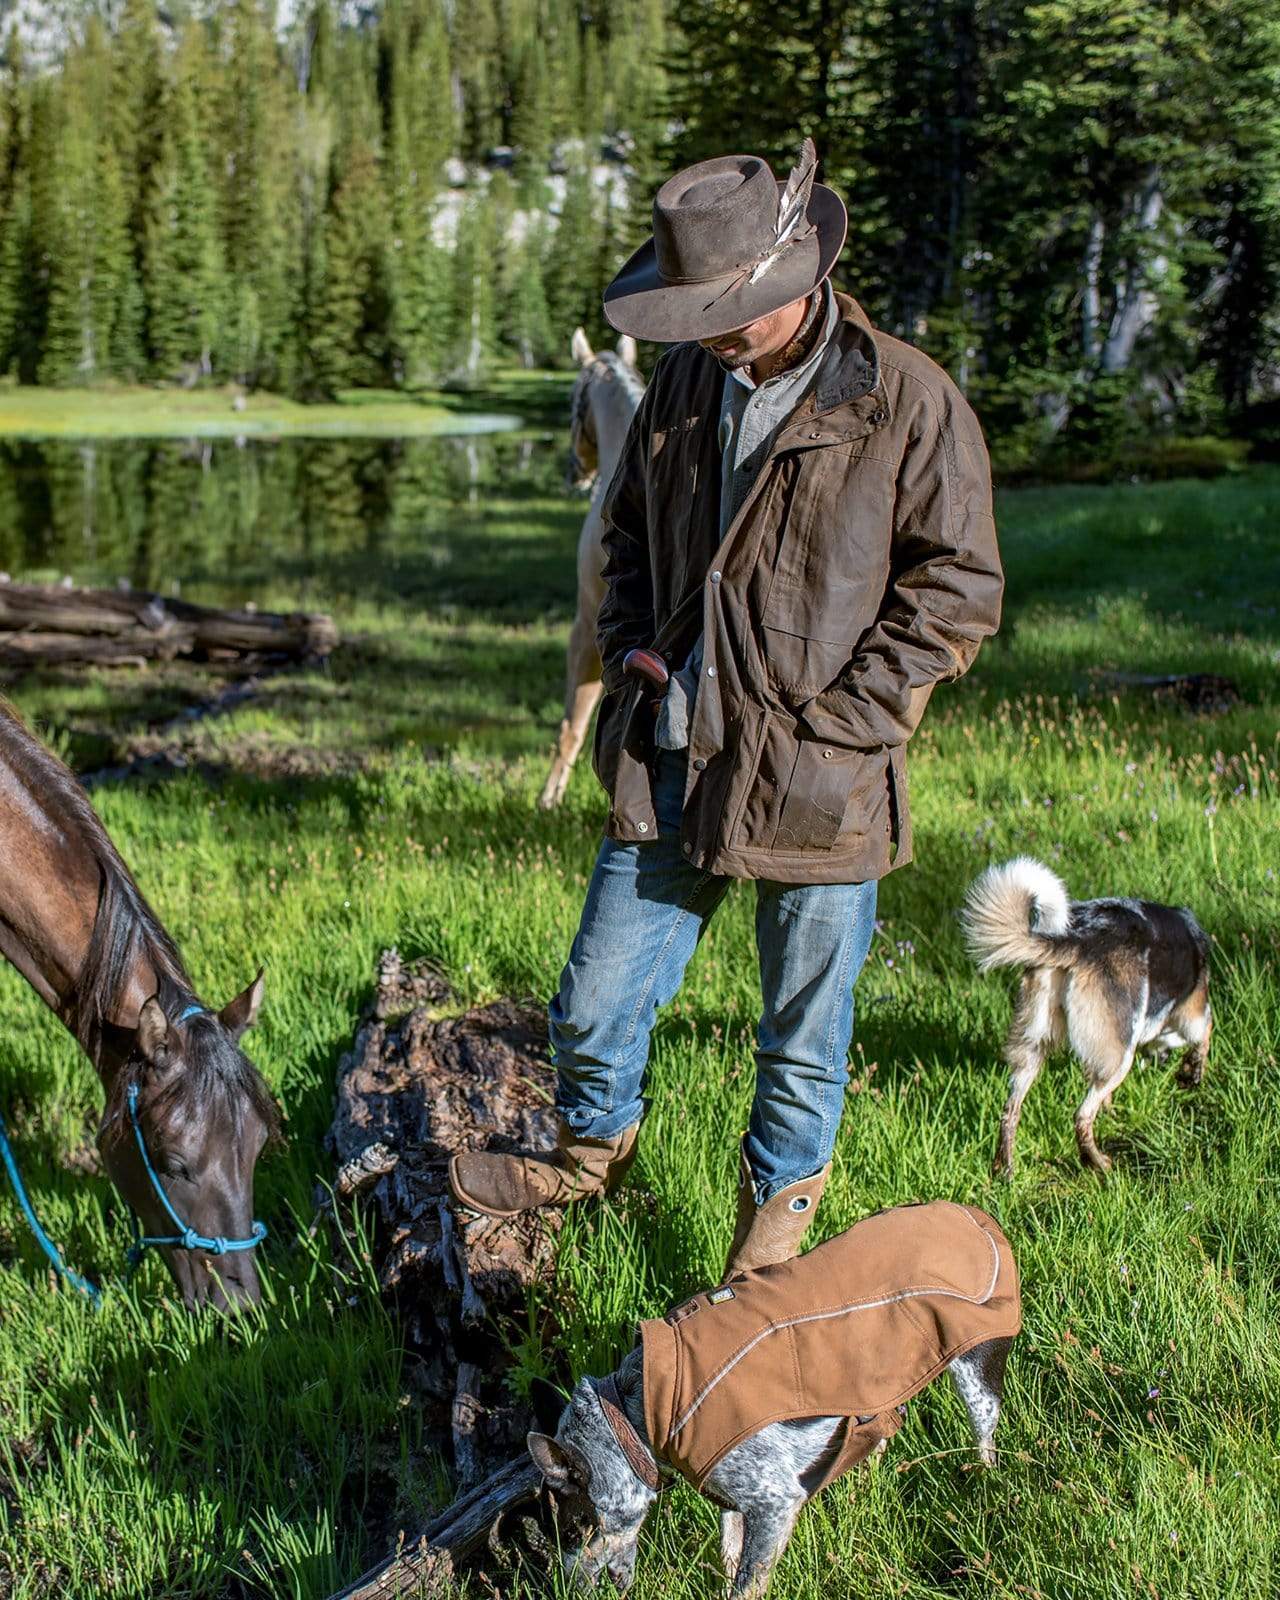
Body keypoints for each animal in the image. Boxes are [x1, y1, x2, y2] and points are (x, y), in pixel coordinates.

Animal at [524, 1203, 1017, 1593]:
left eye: (572, 1530)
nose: (564, 1587)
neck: (637, 1409)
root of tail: (974, 1215)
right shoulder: (733, 1493)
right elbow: (729, 1549)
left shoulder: (775, 1502)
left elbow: (747, 1583)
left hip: (977, 1372)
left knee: (986, 1440)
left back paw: (984, 1484)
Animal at [966, 864, 1216, 1177]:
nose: (1161, 1062)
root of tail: (1078, 939)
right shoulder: (1193, 1010)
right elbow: (1204, 1035)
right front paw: (1192, 1074)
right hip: (1120, 1058)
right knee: (1081, 1116)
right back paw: (1098, 1163)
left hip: (1031, 1045)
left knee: (1010, 1111)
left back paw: (1006, 1171)